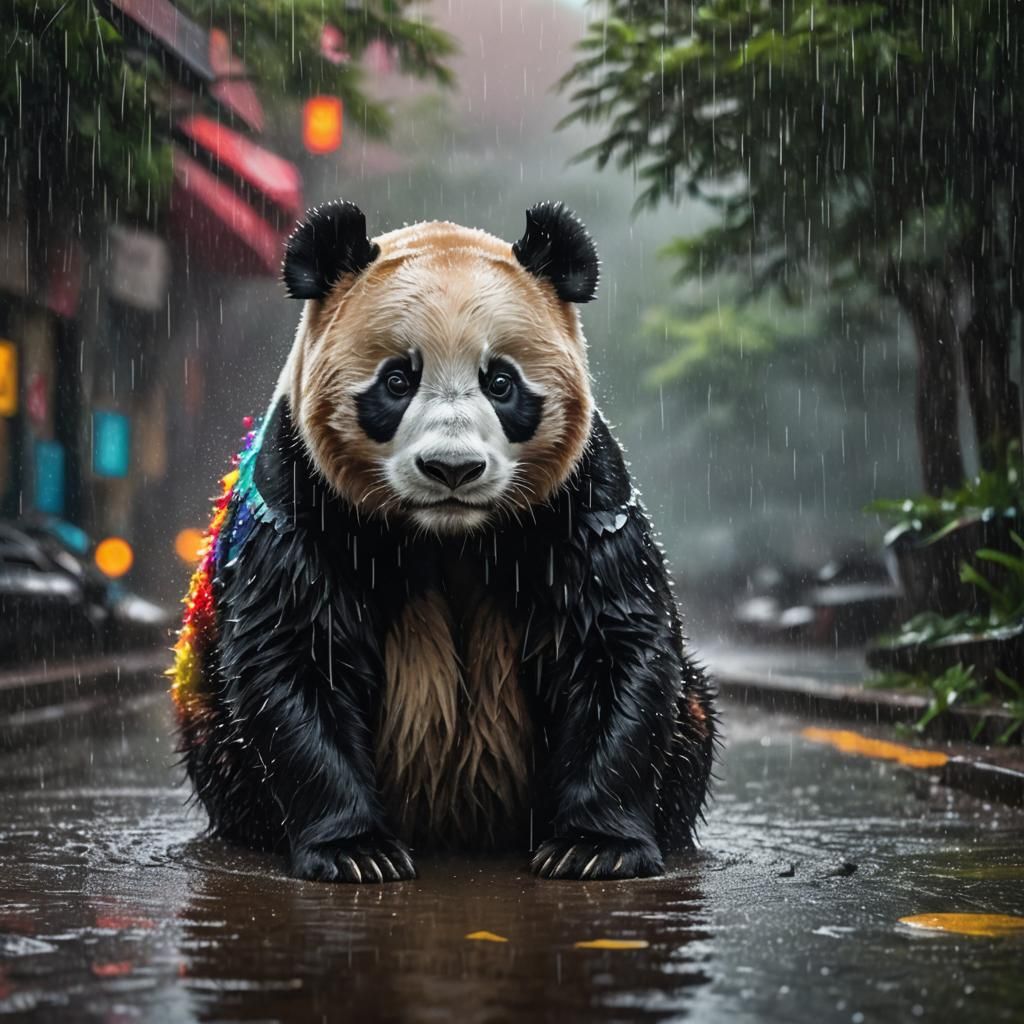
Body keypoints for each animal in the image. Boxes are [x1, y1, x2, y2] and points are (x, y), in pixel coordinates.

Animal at [170, 200, 715, 883]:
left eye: (501, 383)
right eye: (397, 380)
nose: (452, 469)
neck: (448, 534)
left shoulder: (579, 496)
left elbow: (610, 637)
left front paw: (594, 847)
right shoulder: (300, 497)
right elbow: (296, 649)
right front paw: (358, 852)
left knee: (692, 712)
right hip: (207, 721)